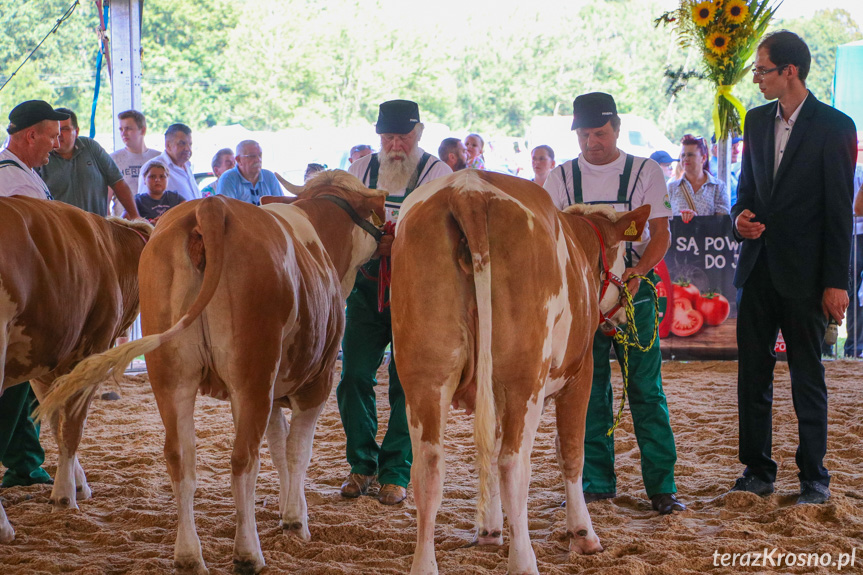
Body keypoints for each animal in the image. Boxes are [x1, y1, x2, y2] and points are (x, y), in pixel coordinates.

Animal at [0, 196, 152, 544]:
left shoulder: (46, 362)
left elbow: (56, 421)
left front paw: (78, 483)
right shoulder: (90, 352)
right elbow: (72, 425)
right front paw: (65, 496)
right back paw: (3, 527)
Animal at [40, 172, 384, 575]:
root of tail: (211, 206)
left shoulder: (273, 393)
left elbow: (278, 447)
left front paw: (285, 513)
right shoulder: (316, 381)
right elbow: (297, 451)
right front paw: (296, 521)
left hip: (173, 375)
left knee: (180, 456)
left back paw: (189, 554)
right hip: (251, 375)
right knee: (242, 459)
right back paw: (248, 553)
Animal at [392, 171, 648, 575]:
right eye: (624, 254)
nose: (625, 309)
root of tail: (468, 190)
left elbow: (490, 447)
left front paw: (489, 530)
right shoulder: (579, 374)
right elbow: (570, 450)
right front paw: (583, 534)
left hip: (425, 375)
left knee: (429, 468)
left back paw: (425, 564)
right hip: (522, 380)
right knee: (513, 464)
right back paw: (524, 561)